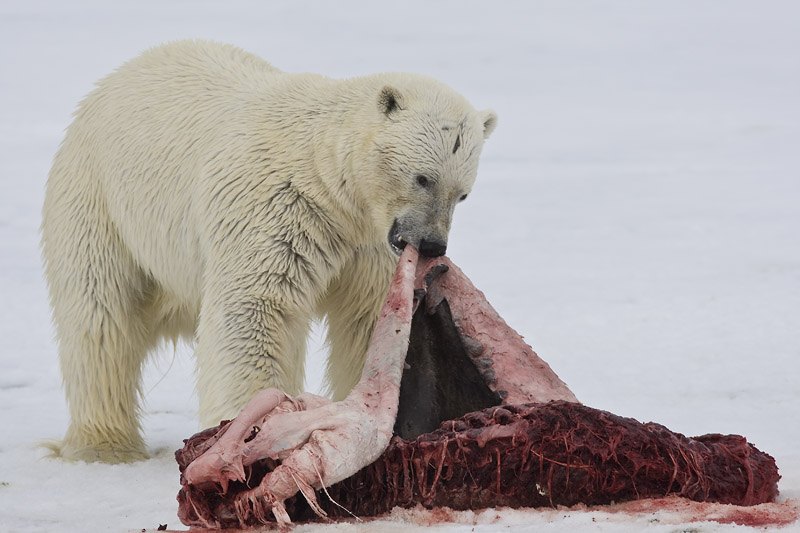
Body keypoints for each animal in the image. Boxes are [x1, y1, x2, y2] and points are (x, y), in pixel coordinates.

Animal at [43, 40, 496, 462]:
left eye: (463, 194)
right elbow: (257, 307)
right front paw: (254, 426)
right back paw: (104, 445)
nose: (432, 244)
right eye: (422, 178)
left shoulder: (365, 244)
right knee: (101, 316)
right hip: (100, 199)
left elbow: (368, 320)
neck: (326, 175)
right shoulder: (279, 209)